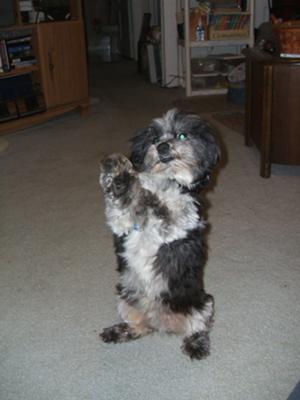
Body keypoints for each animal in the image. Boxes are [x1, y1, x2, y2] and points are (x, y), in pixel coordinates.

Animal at [99, 108, 219, 360]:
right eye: (154, 139)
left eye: (182, 135)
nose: (163, 146)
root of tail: (162, 322)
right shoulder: (121, 222)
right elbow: (125, 202)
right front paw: (118, 172)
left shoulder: (178, 220)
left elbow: (158, 201)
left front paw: (140, 186)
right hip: (126, 297)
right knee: (140, 326)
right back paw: (119, 332)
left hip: (201, 303)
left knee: (198, 326)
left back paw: (196, 344)